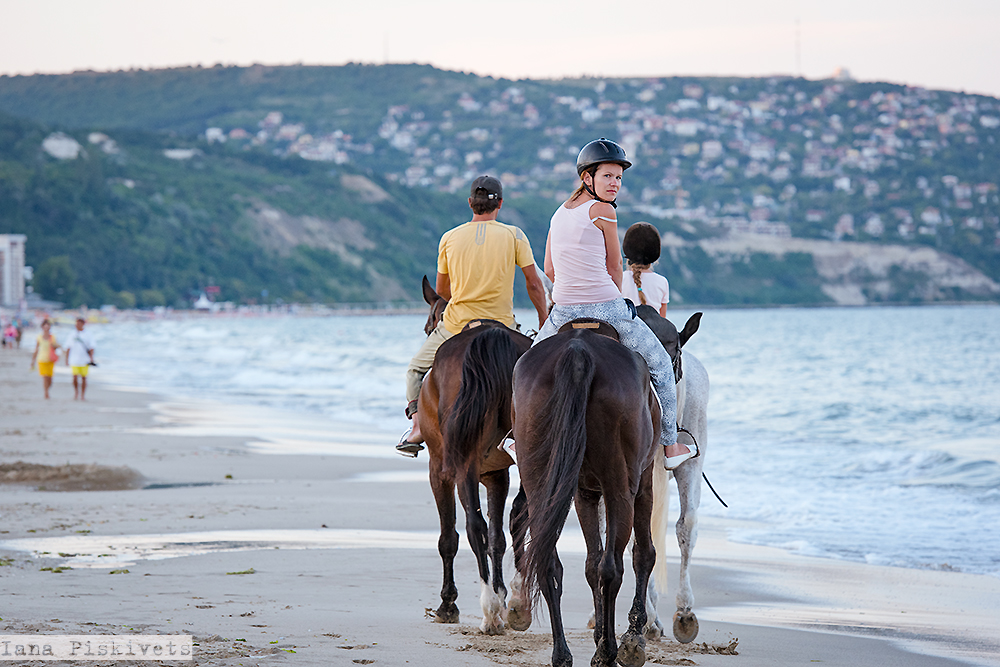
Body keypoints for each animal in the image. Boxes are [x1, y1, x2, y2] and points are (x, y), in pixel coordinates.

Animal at [414, 276, 540, 636]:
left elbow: (449, 538)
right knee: (519, 517)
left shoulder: (439, 472)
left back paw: (489, 611)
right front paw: (501, 592)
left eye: (429, 325)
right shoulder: (498, 475)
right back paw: (516, 605)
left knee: (473, 526)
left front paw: (448, 604)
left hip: (462, 467)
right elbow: (497, 537)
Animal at [508, 320, 664, 664]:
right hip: (620, 487)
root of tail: (578, 351)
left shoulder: (583, 493)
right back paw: (608, 651)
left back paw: (562, 653)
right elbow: (642, 554)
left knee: (549, 563)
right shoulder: (643, 483)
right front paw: (632, 638)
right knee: (612, 567)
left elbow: (591, 564)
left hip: (540, 483)